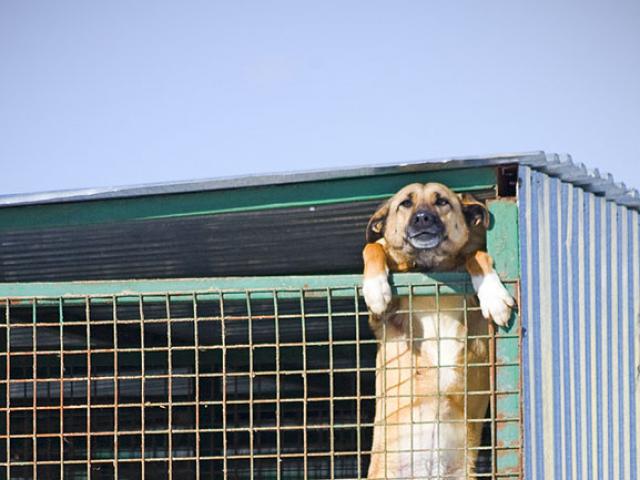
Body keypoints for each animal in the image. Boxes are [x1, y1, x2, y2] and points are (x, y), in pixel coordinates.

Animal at [360, 182, 516, 478]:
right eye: (405, 203)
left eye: (442, 201)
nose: (423, 218)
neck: (429, 269)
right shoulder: (382, 319)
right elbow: (372, 245)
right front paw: (375, 287)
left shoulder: (482, 328)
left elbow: (475, 254)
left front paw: (493, 294)